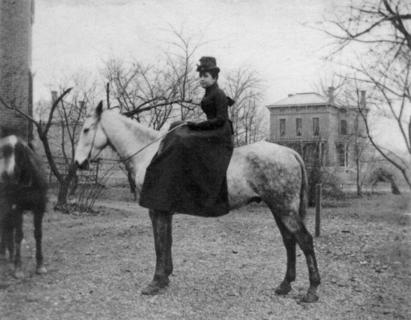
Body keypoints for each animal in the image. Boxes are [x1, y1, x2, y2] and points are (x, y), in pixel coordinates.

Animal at [0, 135, 47, 278]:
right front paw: (18, 268)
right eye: (2, 153)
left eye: (19, 152)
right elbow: (19, 236)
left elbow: (38, 234)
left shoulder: (39, 208)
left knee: (7, 227)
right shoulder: (17, 209)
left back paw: (8, 254)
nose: (5, 175)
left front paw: (40, 265)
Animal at [74, 102, 320, 302]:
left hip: (284, 209)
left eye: (86, 129)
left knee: (305, 240)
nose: (78, 163)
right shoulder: (164, 211)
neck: (150, 153)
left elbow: (159, 244)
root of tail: (291, 153)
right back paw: (285, 285)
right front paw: (165, 277)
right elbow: (167, 242)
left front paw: (155, 282)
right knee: (289, 241)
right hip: (278, 208)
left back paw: (312, 290)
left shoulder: (156, 210)